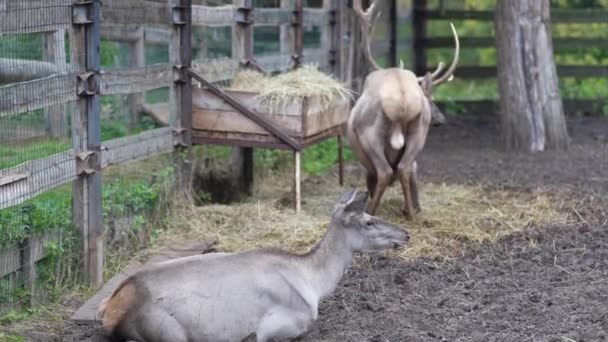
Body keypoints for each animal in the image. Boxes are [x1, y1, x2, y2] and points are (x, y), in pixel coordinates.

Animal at [97, 188, 408, 342]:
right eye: (368, 221)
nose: (406, 234)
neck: (315, 283)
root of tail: (112, 309)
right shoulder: (279, 324)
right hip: (168, 332)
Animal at [344, 0, 458, 219]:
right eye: (431, 99)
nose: (441, 119)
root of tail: (402, 99)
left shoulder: (366, 166)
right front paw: (412, 207)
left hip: (370, 135)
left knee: (385, 172)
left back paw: (370, 212)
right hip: (419, 133)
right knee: (405, 168)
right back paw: (411, 215)